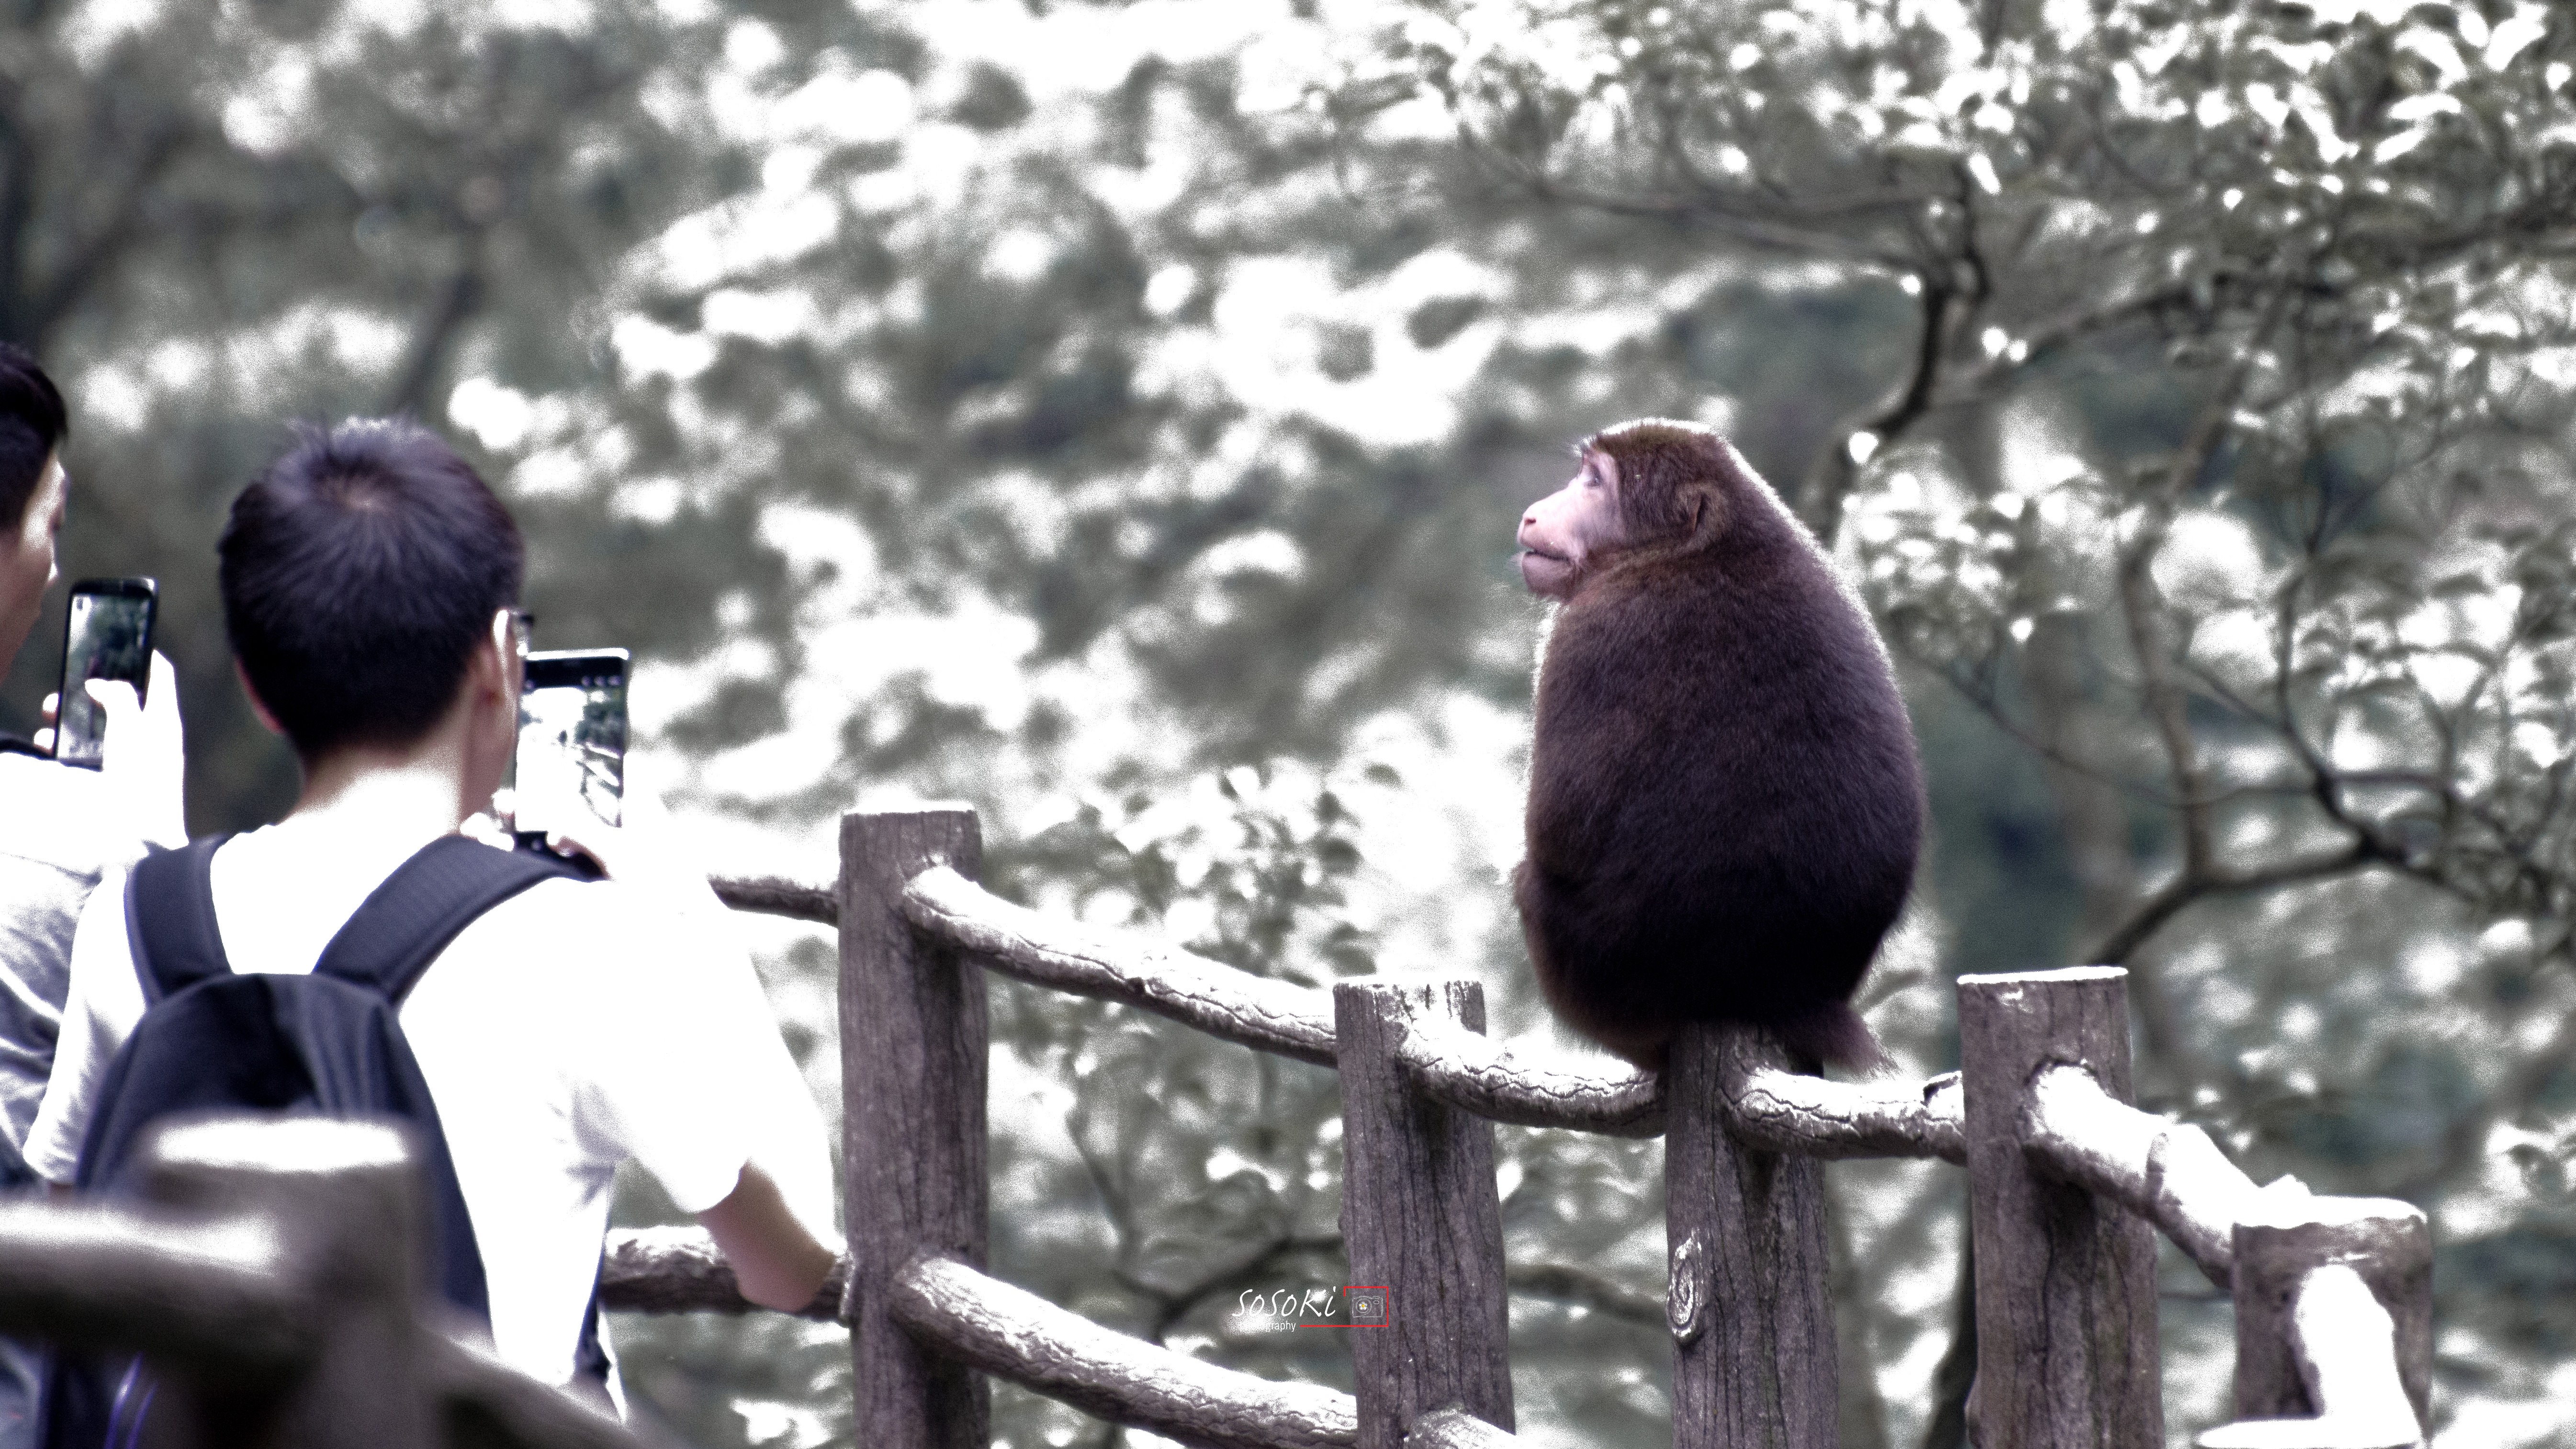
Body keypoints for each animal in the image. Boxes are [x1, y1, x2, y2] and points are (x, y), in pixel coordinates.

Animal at [1511, 418, 1922, 1072]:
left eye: (1594, 484)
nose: (1533, 514)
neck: (1694, 550)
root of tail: (1789, 996)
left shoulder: (1591, 633)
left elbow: (1559, 831)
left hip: (1610, 983)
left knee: (1532, 883)